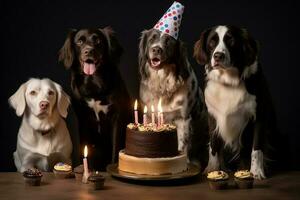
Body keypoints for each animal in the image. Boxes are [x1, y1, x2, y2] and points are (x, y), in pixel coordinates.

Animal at [59, 27, 131, 170]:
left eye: (97, 40)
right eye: (79, 42)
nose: (89, 51)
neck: (93, 83)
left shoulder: (117, 117)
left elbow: (116, 148)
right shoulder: (83, 118)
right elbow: (85, 148)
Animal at [139, 28, 207, 165]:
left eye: (168, 42)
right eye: (152, 39)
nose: (156, 49)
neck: (162, 82)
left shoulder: (183, 119)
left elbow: (182, 143)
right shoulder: (148, 115)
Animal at [193, 25, 276, 180]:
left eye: (231, 41)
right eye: (212, 42)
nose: (218, 56)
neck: (229, 81)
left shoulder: (260, 116)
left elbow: (256, 148)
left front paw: (256, 171)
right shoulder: (212, 116)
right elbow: (214, 145)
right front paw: (212, 169)